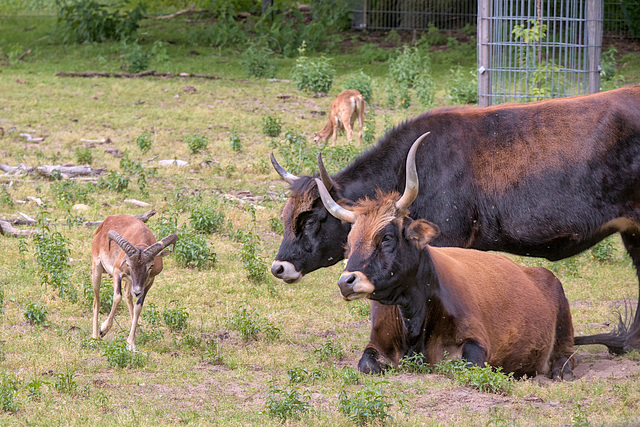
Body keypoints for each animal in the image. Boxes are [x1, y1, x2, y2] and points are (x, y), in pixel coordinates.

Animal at [316, 136, 576, 378]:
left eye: (386, 237)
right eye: (349, 243)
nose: (346, 282)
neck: (412, 322)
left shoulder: (476, 342)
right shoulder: (375, 345)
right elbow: (367, 365)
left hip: (564, 328)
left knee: (565, 356)